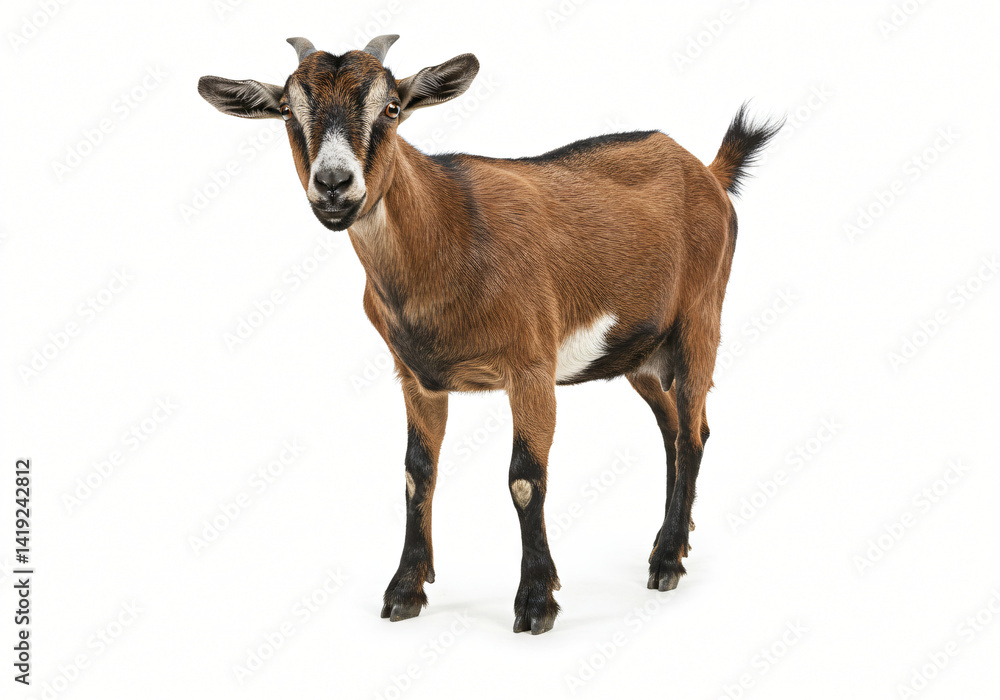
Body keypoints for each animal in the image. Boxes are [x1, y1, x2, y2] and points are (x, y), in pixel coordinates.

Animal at [198, 35, 782, 635]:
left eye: (391, 108)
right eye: (289, 112)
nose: (335, 185)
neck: (450, 232)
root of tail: (708, 171)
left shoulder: (531, 368)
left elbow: (526, 479)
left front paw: (536, 600)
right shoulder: (417, 378)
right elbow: (416, 475)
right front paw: (406, 589)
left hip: (700, 319)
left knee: (692, 431)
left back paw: (665, 562)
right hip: (638, 351)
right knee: (673, 426)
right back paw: (673, 543)